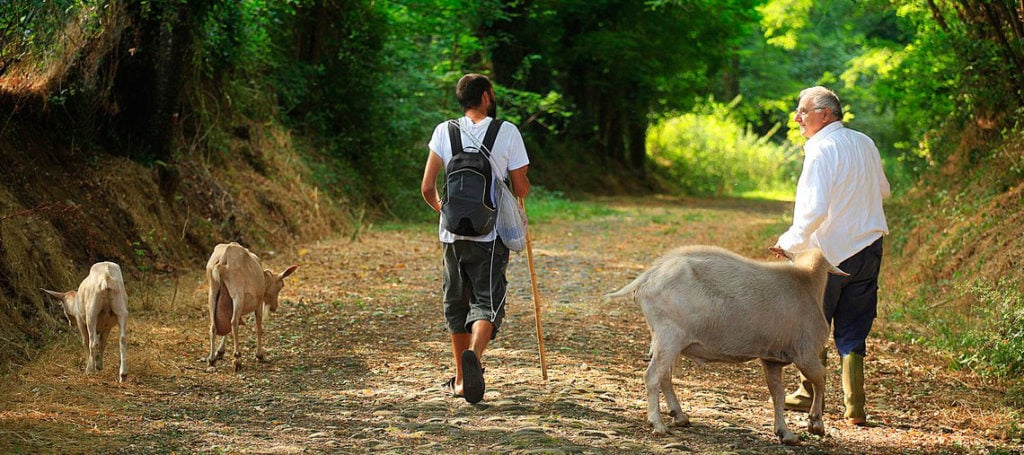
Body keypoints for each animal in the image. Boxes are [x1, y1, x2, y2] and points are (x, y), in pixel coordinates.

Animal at [606, 244, 847, 444]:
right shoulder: (805, 352)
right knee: (653, 376)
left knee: (665, 376)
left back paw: (679, 416)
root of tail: (650, 276)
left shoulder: (771, 358)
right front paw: (816, 424)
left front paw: (784, 433)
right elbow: (820, 378)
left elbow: (777, 394)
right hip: (669, 335)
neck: (806, 283)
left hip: (669, 340)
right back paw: (658, 424)